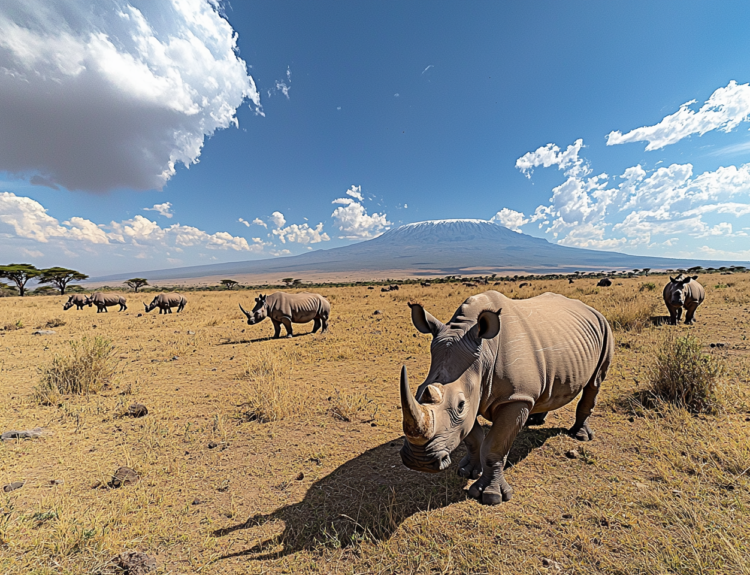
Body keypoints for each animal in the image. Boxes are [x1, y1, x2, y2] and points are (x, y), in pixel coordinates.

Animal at [402, 290, 612, 506]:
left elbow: (494, 446)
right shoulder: (475, 393)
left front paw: (490, 496)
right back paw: (535, 420)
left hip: (605, 329)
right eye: (418, 391)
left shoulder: (515, 398)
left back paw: (581, 436)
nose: (420, 461)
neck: (483, 355)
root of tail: (590, 309)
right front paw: (468, 471)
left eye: (460, 405)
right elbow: (474, 437)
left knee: (594, 382)